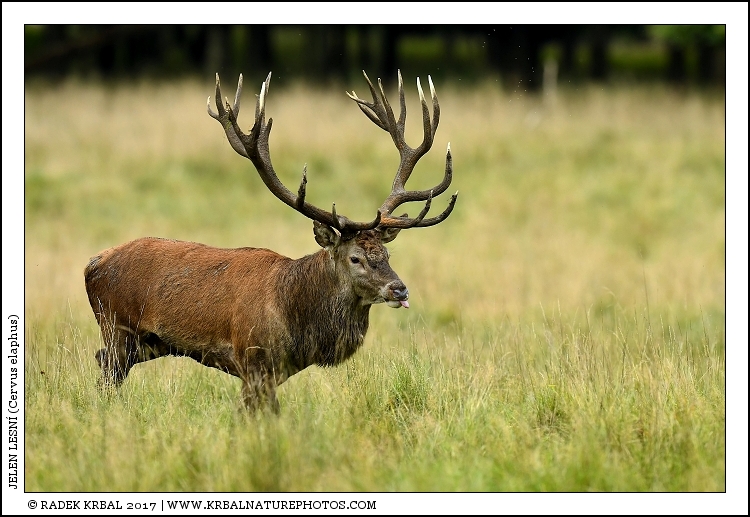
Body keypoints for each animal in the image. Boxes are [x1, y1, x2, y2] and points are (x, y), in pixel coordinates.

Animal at [84, 70, 457, 412]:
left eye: (387, 253)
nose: (400, 289)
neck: (295, 315)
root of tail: (92, 264)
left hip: (145, 343)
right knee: (106, 371)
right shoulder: (251, 358)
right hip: (116, 326)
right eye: (355, 258)